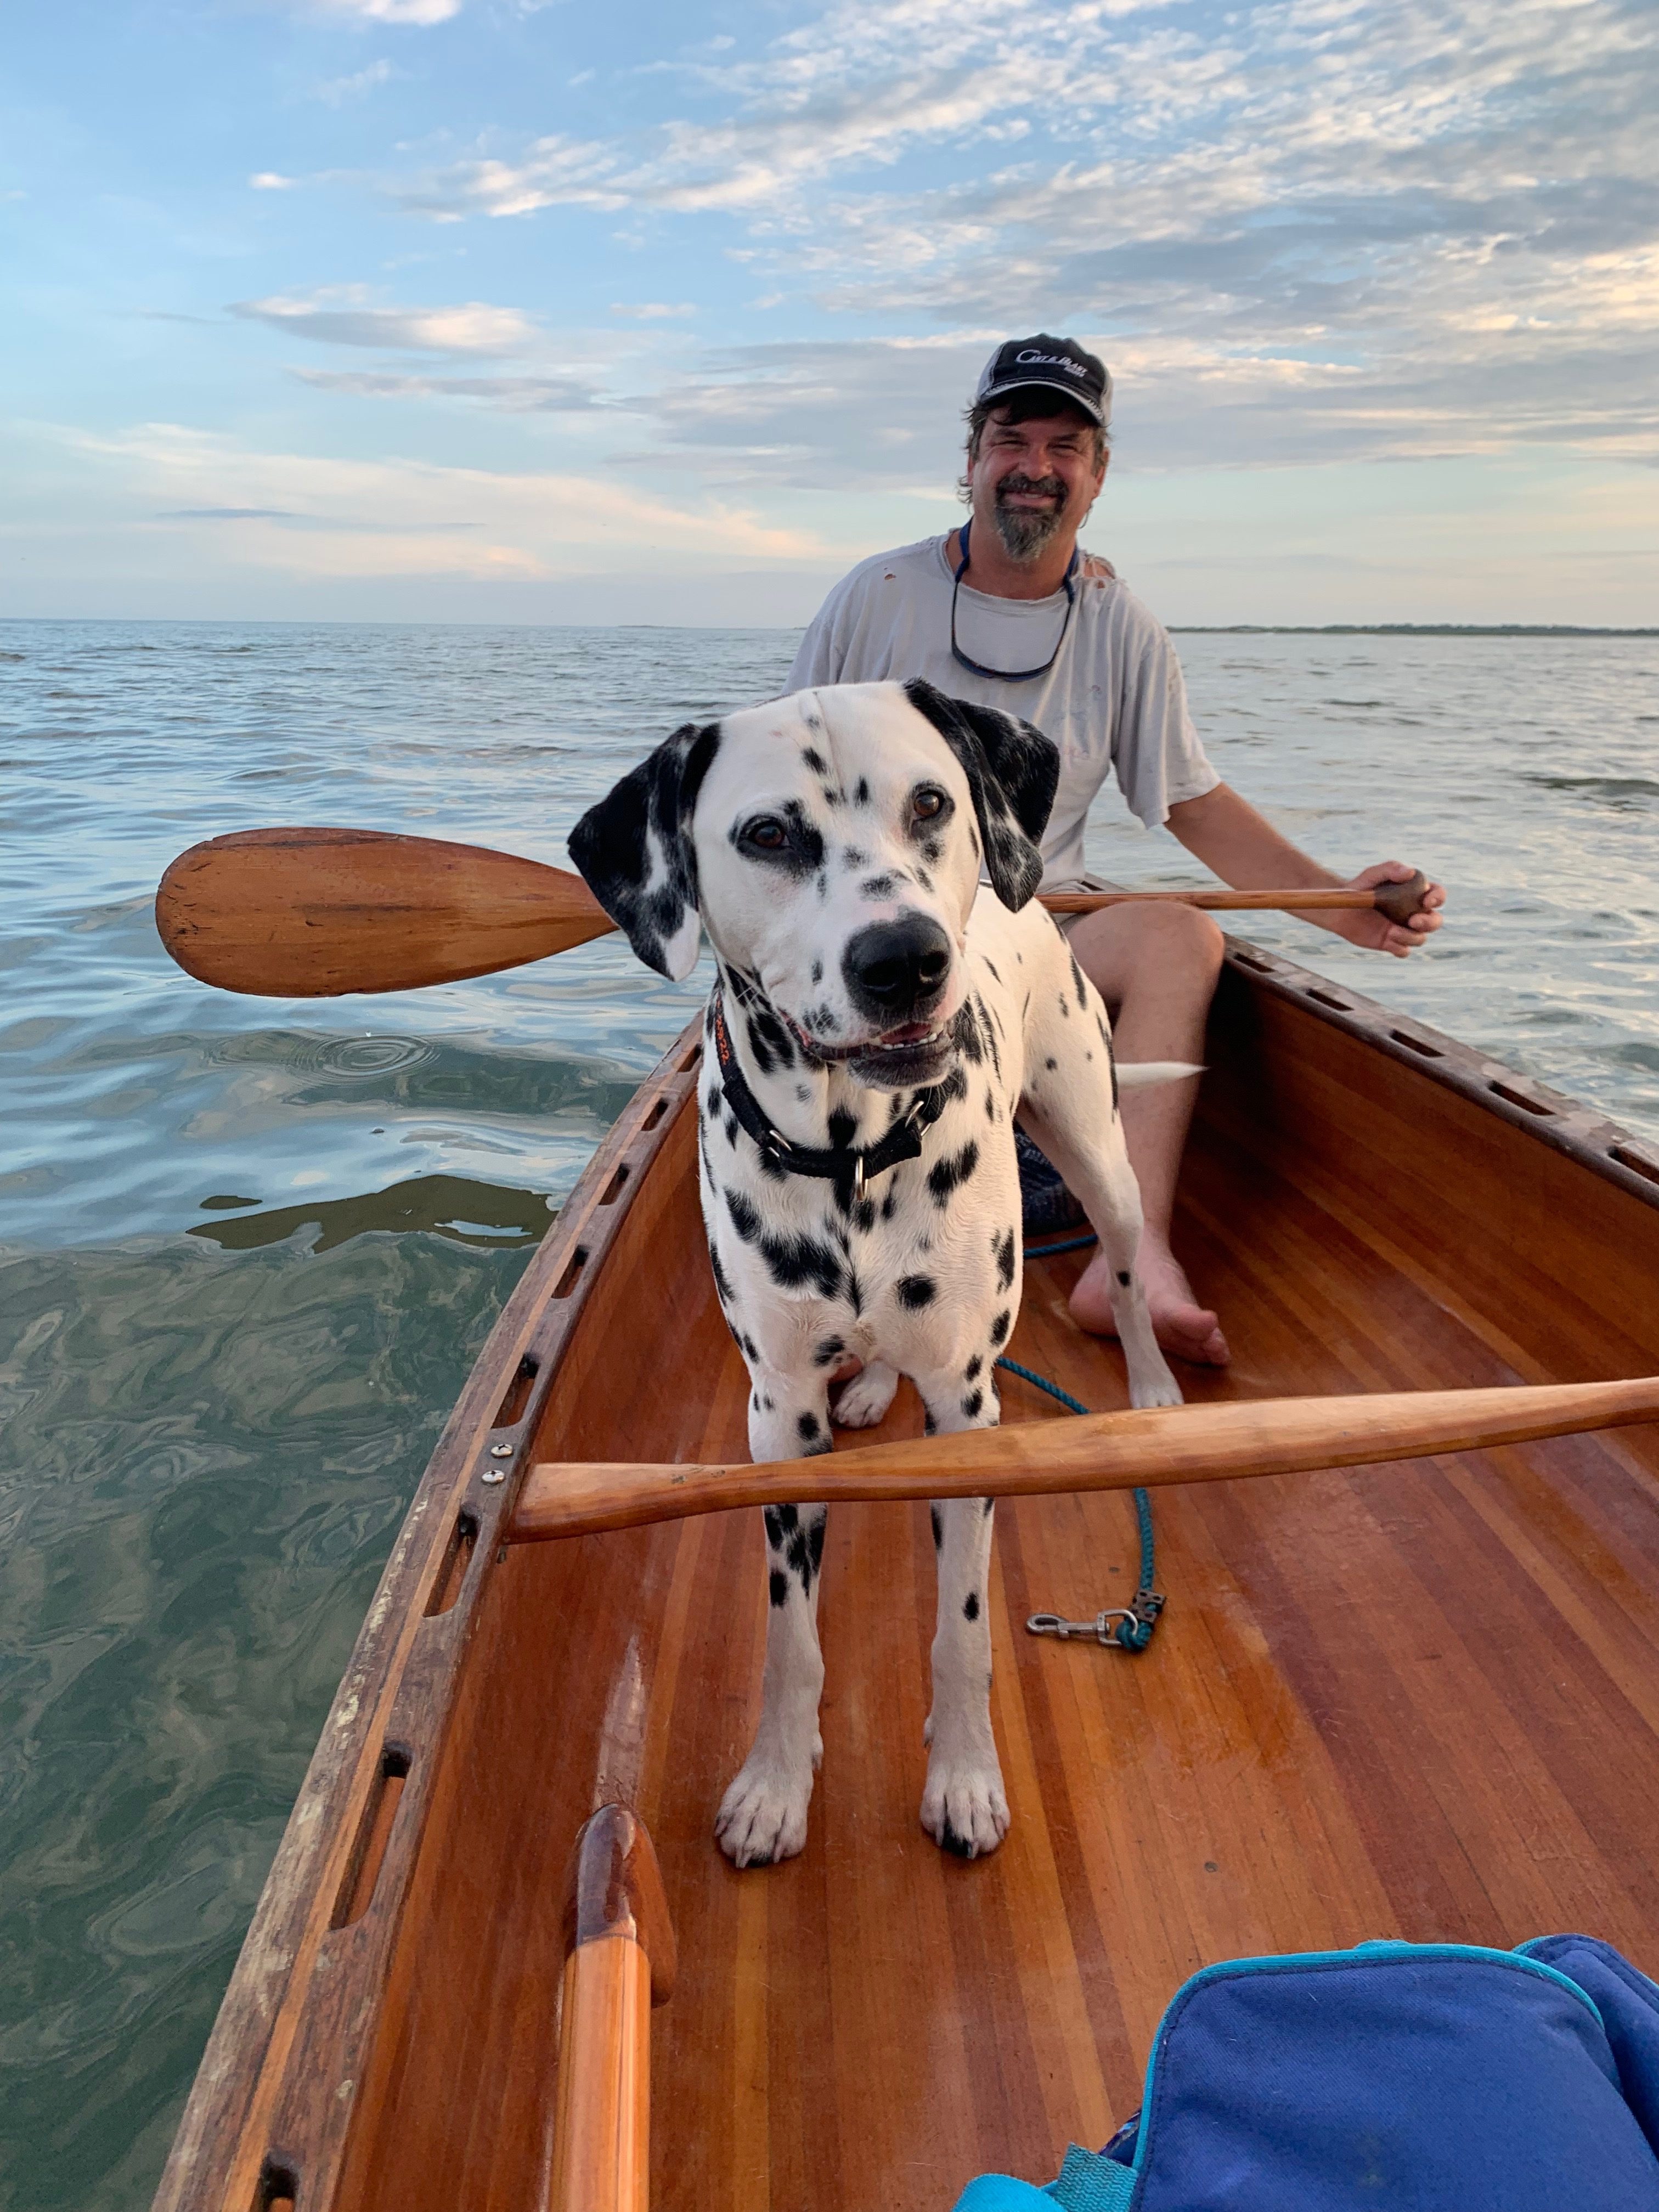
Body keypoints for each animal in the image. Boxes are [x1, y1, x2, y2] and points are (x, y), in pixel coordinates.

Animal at [579, 672, 1186, 1867]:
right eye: (767, 834)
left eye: (931, 803)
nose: (902, 957)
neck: (853, 1158)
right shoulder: (776, 1422)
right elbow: (790, 1639)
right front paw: (774, 1785)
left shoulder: (968, 1413)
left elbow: (962, 1632)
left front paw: (964, 1778)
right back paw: (866, 1383)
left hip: (1097, 1149)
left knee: (1129, 1273)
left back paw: (1148, 1389)